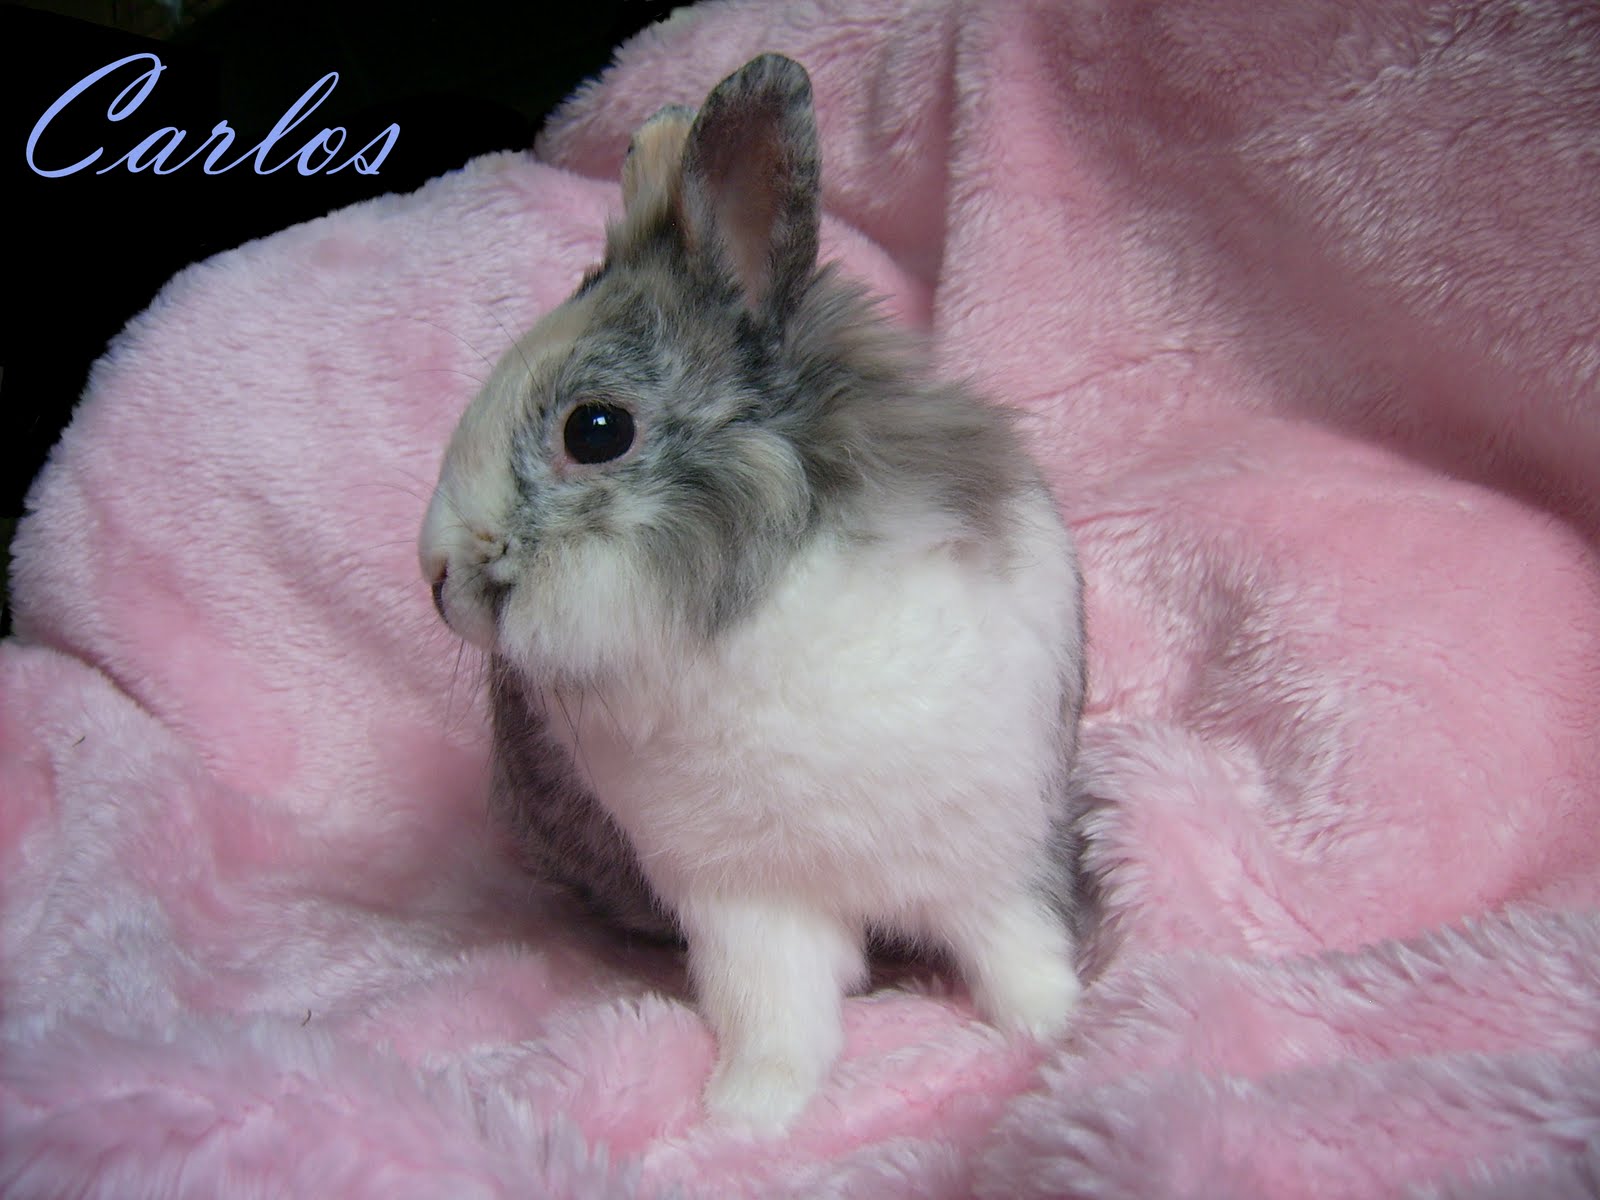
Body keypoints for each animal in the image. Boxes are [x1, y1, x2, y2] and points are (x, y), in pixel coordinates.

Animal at [419, 53, 1088, 1134]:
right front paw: (749, 1114)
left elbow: (1017, 948)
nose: (439, 579)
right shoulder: (745, 903)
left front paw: (1060, 1028)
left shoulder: (996, 852)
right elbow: (778, 1012)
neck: (762, 595)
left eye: (595, 429)